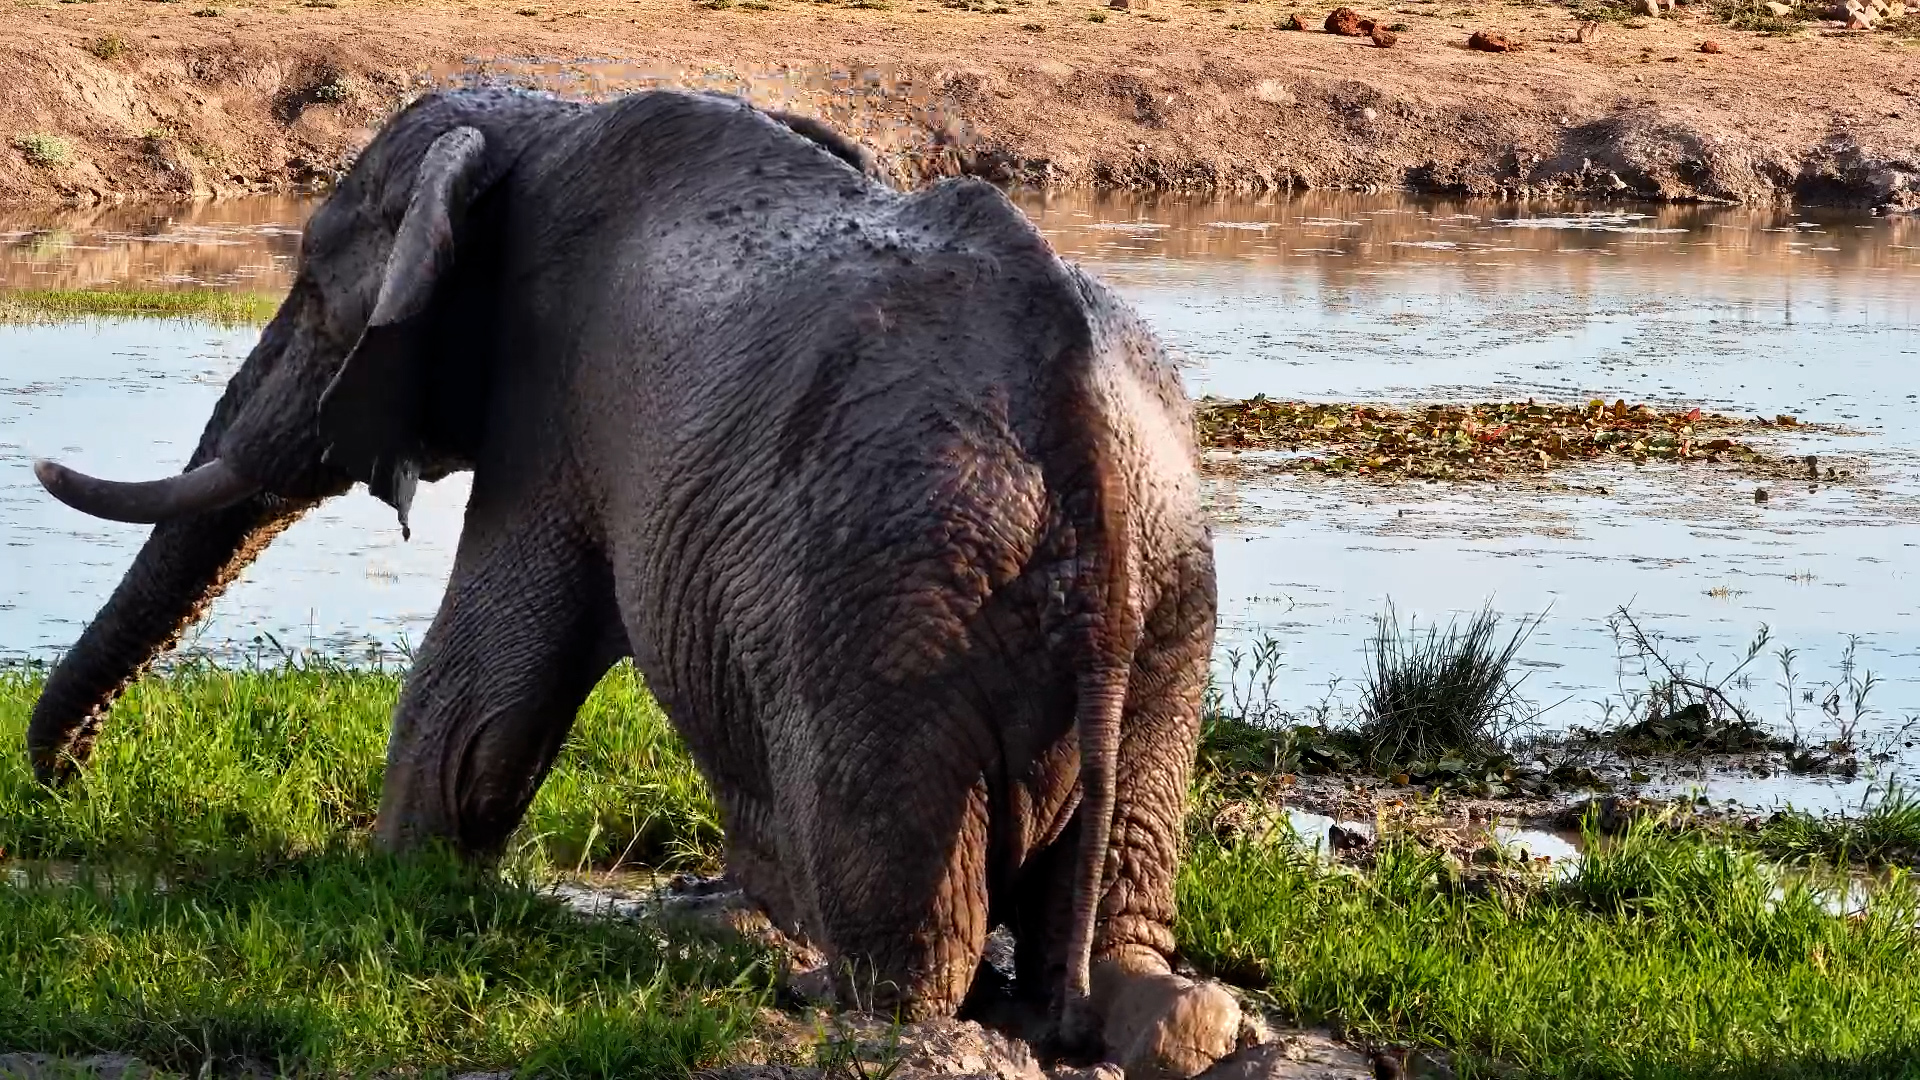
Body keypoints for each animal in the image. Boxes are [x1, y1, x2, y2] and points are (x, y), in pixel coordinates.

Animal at [26, 87, 1236, 1076]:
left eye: (318, 293)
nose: (65, 789)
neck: (536, 120)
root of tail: (1083, 444)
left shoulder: (549, 410)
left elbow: (481, 695)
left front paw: (388, 880)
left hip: (893, 619)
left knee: (912, 957)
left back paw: (813, 994)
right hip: (1166, 600)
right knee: (1124, 910)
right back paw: (1158, 1017)